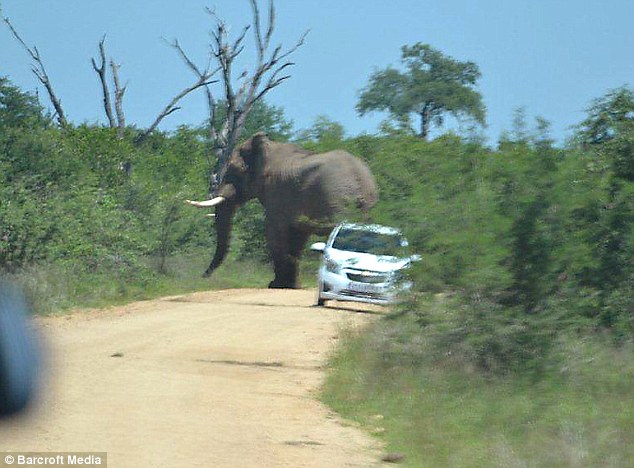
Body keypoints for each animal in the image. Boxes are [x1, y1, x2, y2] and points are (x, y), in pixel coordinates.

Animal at [186, 130, 376, 288]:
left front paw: (276, 285)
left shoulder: (276, 193)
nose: (203, 277)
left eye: (234, 170)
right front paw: (291, 286)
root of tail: (361, 178)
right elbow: (297, 237)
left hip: (338, 199)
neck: (269, 148)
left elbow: (273, 232)